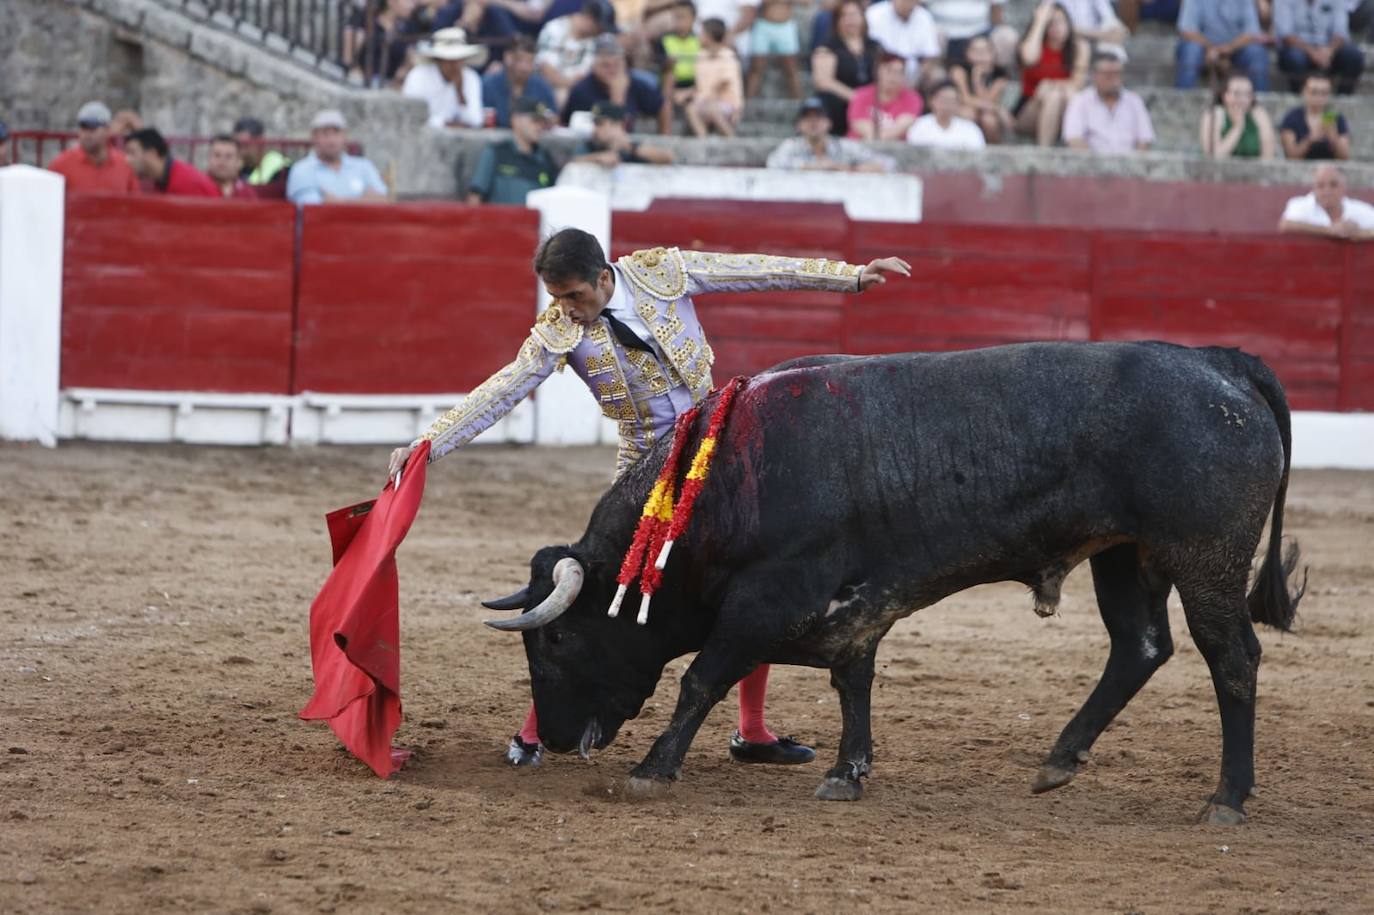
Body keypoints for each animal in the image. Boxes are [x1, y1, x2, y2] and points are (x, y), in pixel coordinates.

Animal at [478, 337, 1302, 824]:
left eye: (555, 640)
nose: (552, 738)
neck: (726, 484)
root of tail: (1220, 364)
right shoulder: (853, 609)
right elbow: (853, 681)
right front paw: (848, 772)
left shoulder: (768, 598)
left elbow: (701, 679)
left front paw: (651, 771)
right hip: (1125, 554)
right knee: (1140, 646)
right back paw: (1058, 761)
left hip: (1205, 558)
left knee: (1231, 657)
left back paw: (1226, 798)